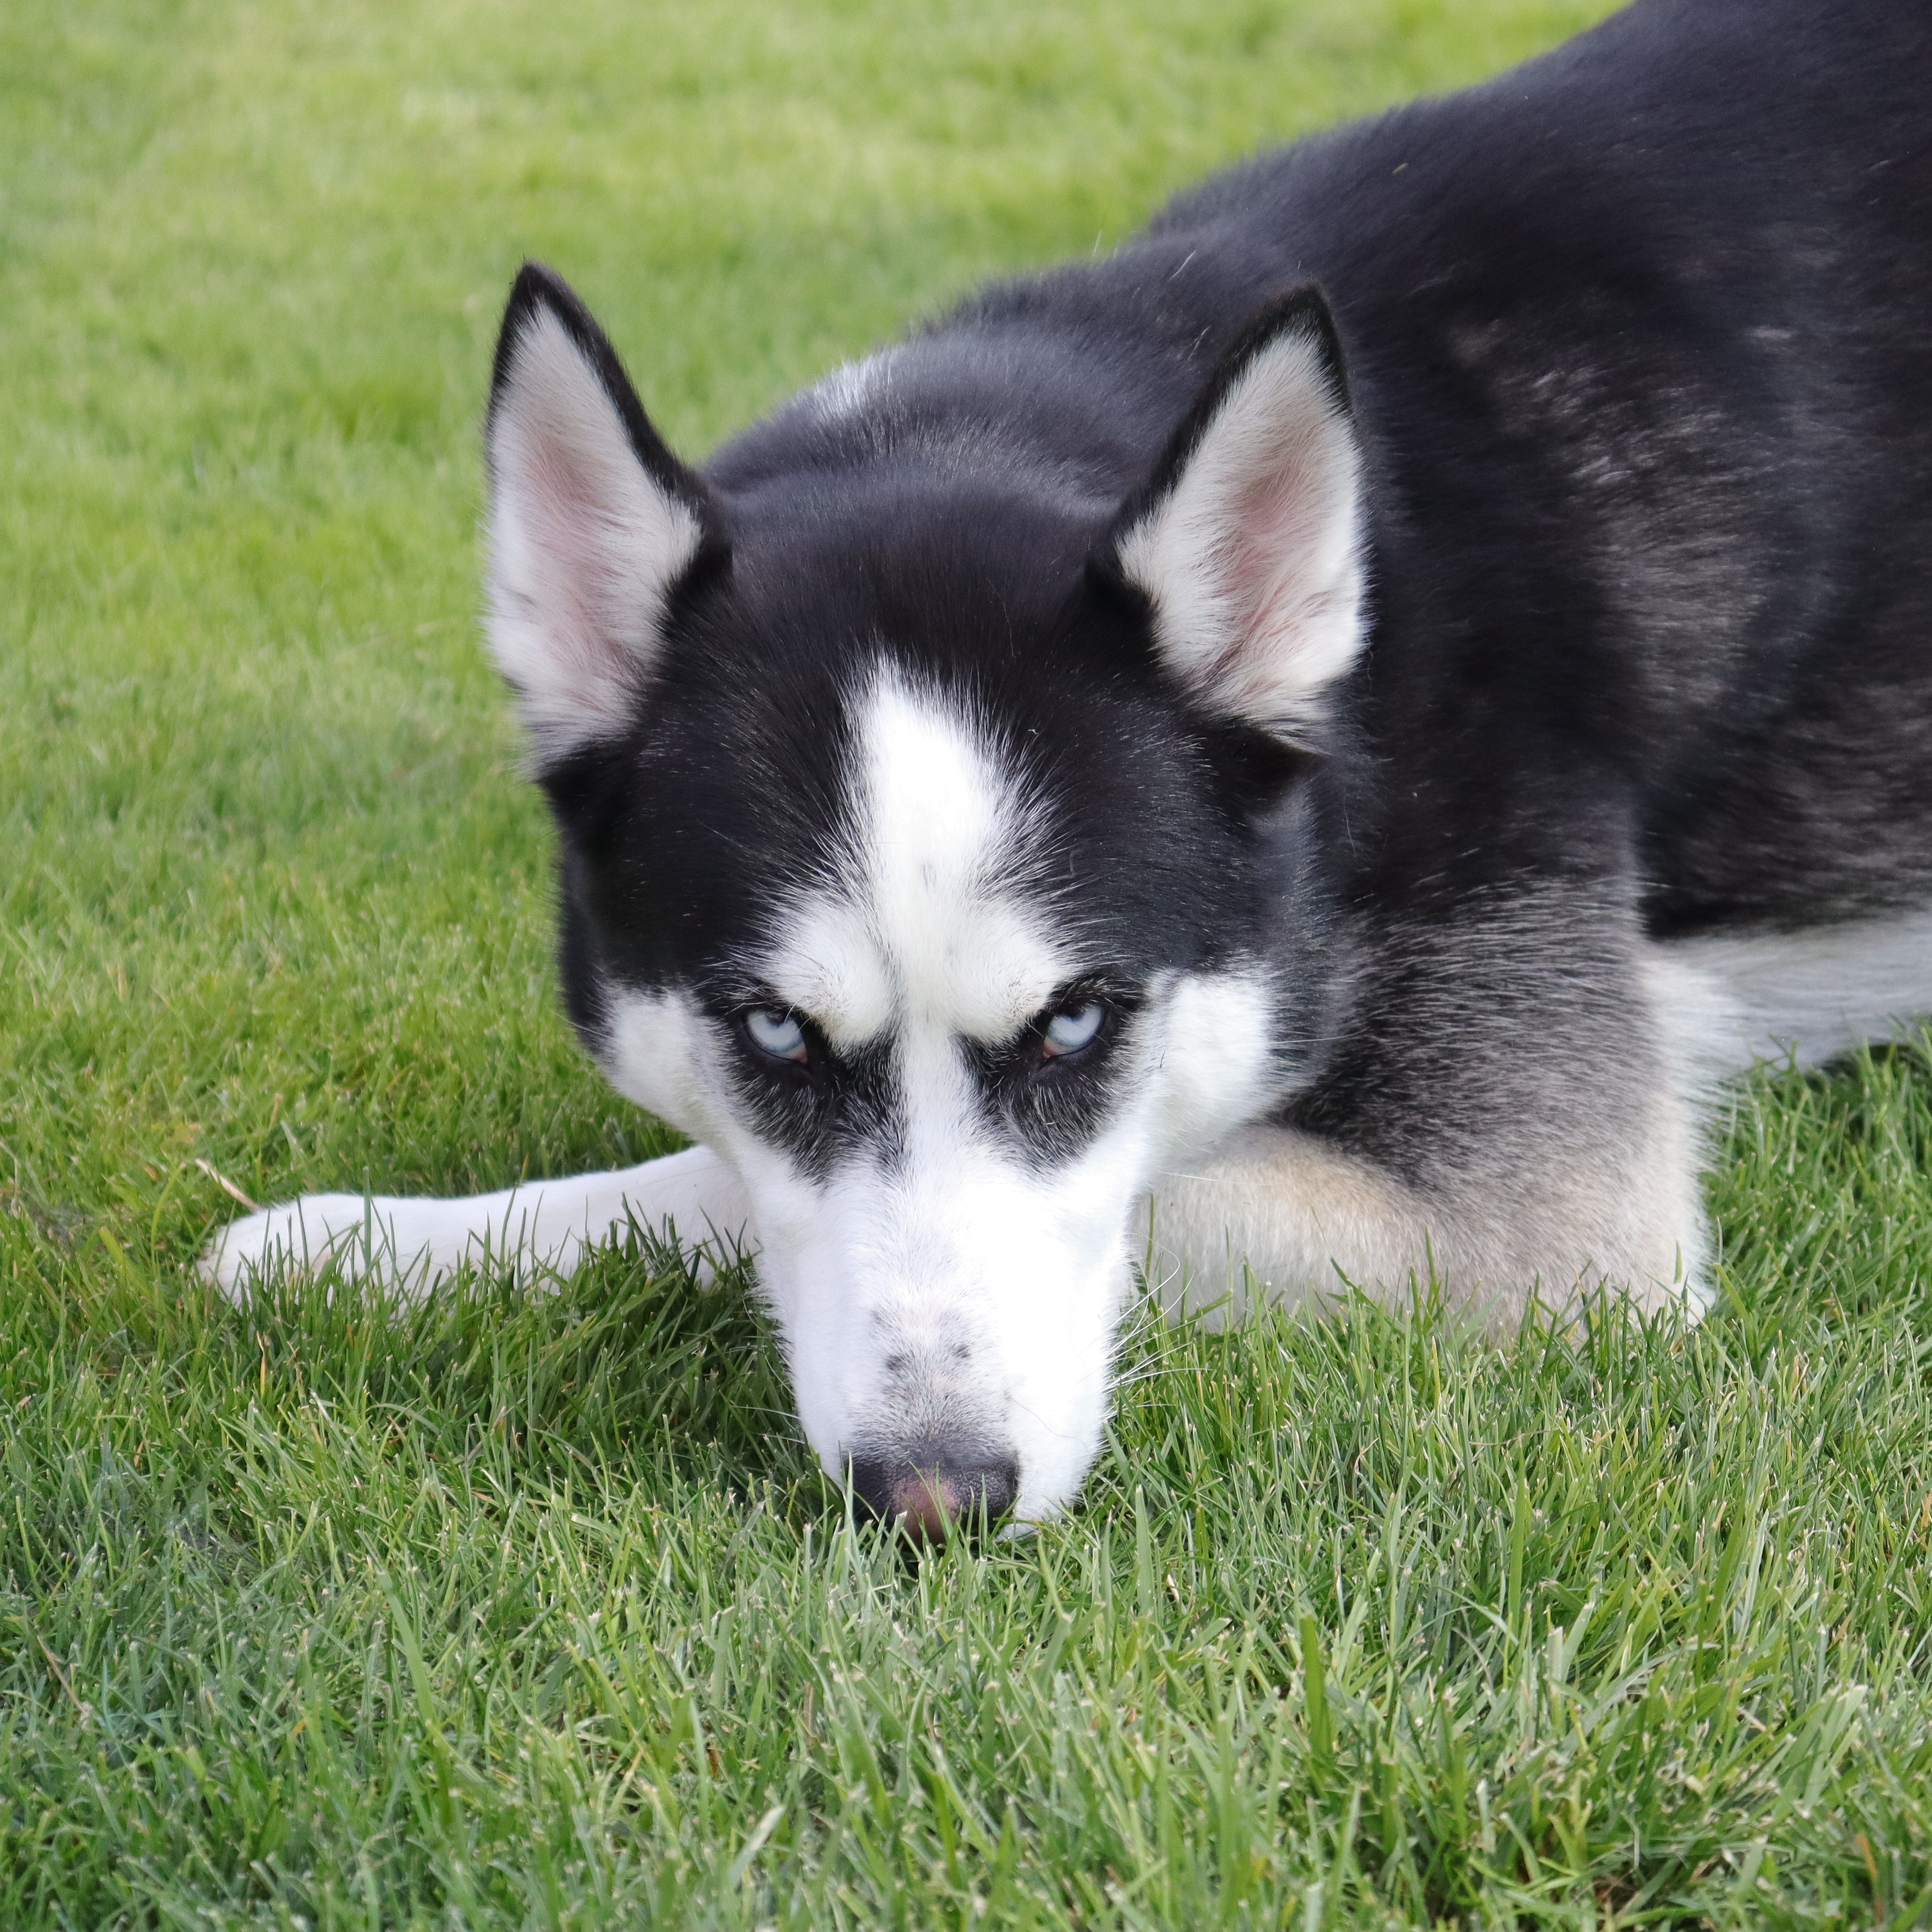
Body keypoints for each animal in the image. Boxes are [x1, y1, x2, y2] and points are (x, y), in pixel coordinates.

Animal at [208, 3, 1932, 1538]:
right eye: (771, 1029)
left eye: (1077, 1024)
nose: (933, 1497)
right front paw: (377, 1248)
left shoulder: (1545, 1238)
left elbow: (754, 1196)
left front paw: (372, 1243)